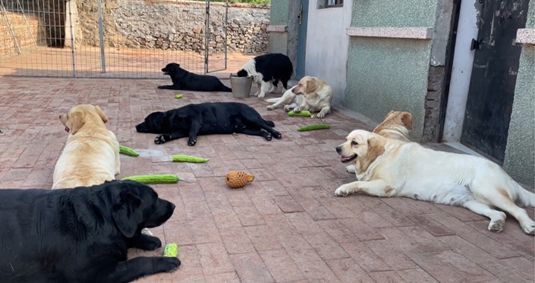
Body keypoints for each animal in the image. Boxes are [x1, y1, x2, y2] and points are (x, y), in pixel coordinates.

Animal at [0, 182, 180, 283]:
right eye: (155, 199)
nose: (173, 205)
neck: (101, 216)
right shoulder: (97, 274)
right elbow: (138, 261)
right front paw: (168, 261)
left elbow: (130, 236)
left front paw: (148, 240)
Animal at [136, 102, 282, 146]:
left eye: (146, 121)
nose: (136, 126)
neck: (171, 118)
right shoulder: (179, 131)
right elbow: (170, 134)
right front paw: (162, 138)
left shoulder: (195, 119)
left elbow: (192, 130)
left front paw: (192, 140)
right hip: (245, 129)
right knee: (261, 130)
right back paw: (267, 136)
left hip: (251, 117)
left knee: (267, 126)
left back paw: (276, 134)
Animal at [336, 129, 535, 235]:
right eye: (346, 139)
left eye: (355, 143)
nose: (337, 148)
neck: (380, 154)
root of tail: (508, 176)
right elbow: (358, 175)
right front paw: (352, 169)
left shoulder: (386, 186)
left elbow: (359, 183)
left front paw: (344, 188)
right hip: (472, 202)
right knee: (500, 213)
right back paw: (497, 223)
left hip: (487, 190)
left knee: (519, 210)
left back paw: (528, 225)